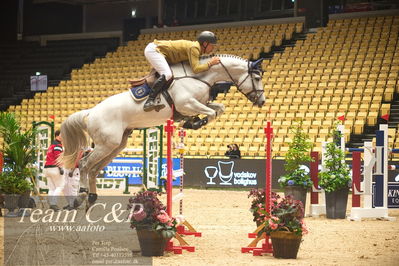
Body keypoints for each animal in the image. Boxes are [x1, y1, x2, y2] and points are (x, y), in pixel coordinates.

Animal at [60, 54, 266, 206]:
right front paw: (193, 124)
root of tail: (91, 112)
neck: (199, 77)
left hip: (116, 145)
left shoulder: (198, 104)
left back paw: (91, 197)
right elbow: (211, 113)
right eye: (256, 78)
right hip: (106, 144)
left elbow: (218, 109)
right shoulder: (187, 104)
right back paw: (81, 196)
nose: (262, 102)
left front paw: (191, 122)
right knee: (84, 164)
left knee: (94, 169)